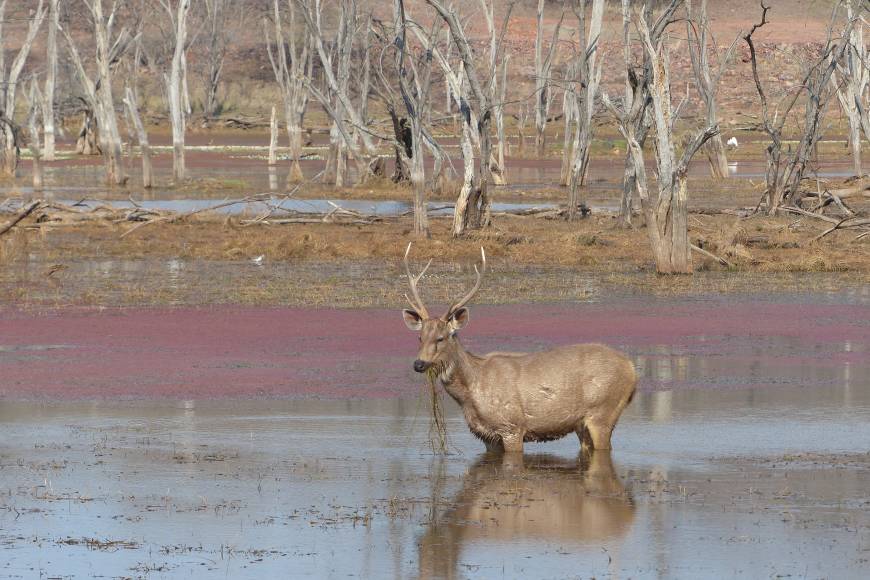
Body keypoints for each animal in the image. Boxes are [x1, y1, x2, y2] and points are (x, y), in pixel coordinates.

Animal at [404, 244, 640, 454]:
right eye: (419, 337)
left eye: (441, 338)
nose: (418, 363)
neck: (472, 392)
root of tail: (631, 368)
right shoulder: (487, 436)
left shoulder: (512, 426)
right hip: (582, 423)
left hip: (603, 411)